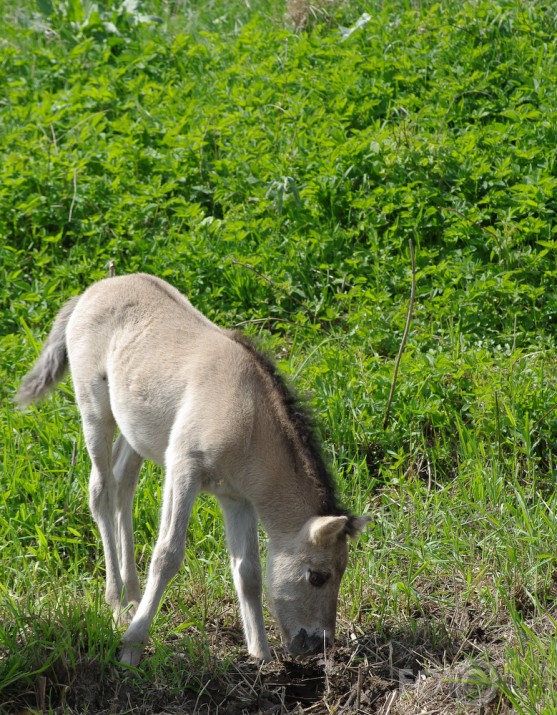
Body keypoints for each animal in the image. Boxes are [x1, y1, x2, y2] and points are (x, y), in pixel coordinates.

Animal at [17, 274, 370, 664]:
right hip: (95, 411)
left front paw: (260, 655)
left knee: (124, 485)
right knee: (101, 491)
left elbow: (249, 571)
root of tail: (92, 291)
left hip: (137, 430)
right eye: (318, 576)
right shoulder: (184, 471)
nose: (318, 644)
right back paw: (117, 604)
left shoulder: (237, 499)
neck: (250, 418)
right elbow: (168, 555)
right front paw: (132, 646)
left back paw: (133, 596)